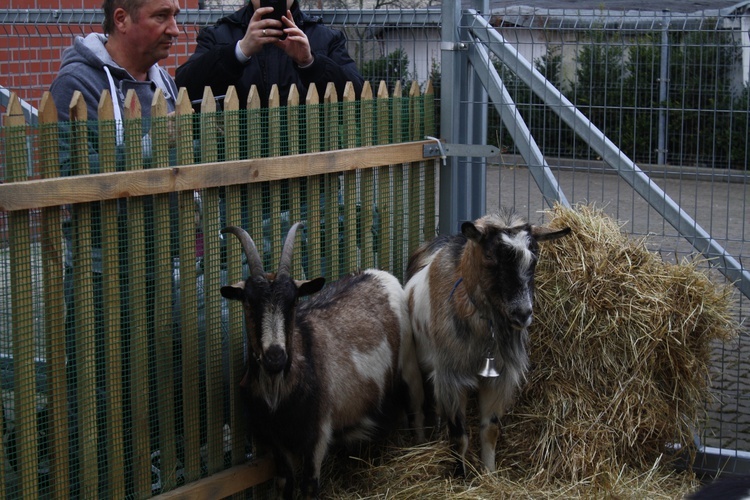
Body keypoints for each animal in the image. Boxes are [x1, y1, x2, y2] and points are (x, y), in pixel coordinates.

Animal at [220, 224, 426, 500]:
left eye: (294, 301)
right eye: (249, 302)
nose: (276, 357)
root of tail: (380, 275)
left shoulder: (317, 433)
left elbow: (309, 485)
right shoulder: (276, 440)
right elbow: (285, 483)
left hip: (409, 367)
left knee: (417, 412)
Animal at [406, 209, 568, 474]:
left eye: (534, 258)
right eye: (491, 255)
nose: (522, 314)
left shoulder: (498, 378)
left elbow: (490, 430)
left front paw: (489, 474)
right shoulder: (451, 377)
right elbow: (459, 435)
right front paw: (460, 476)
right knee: (420, 406)